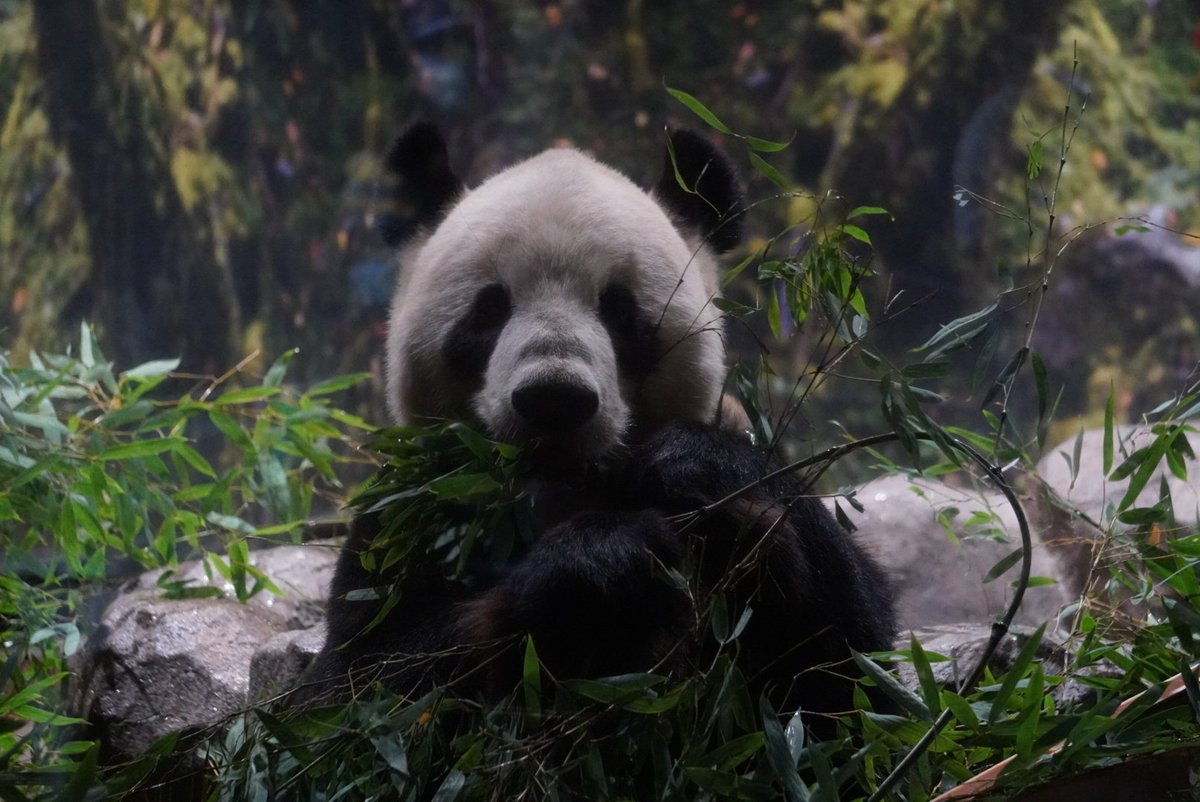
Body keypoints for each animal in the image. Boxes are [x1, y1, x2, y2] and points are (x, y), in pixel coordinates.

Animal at [305, 122, 896, 733]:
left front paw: (693, 468)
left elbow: (850, 667)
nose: (554, 399)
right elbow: (369, 682)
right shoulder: (406, 516)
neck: (563, 492)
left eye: (618, 309)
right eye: (489, 310)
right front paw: (599, 561)